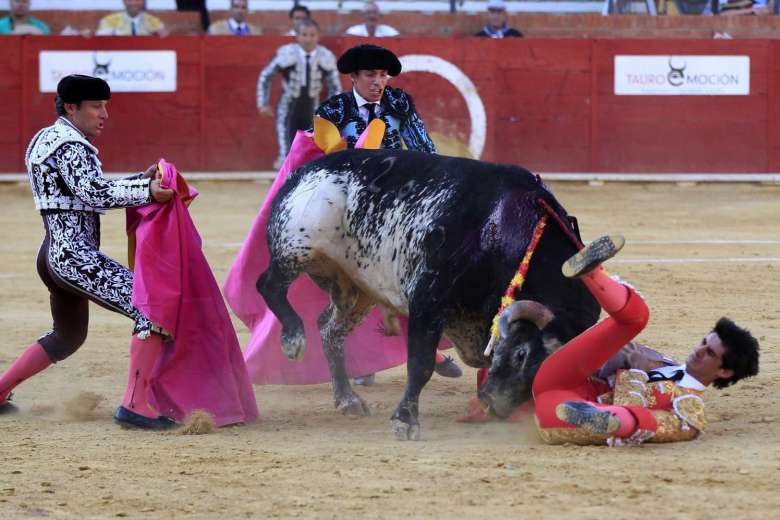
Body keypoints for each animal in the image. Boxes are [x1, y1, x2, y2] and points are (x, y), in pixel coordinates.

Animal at [258, 148, 600, 440]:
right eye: (521, 354)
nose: (496, 405)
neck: (505, 227)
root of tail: (303, 171)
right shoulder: (428, 299)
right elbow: (420, 364)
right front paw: (405, 421)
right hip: (296, 247)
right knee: (269, 285)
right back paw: (293, 340)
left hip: (355, 288)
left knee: (330, 329)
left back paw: (347, 399)